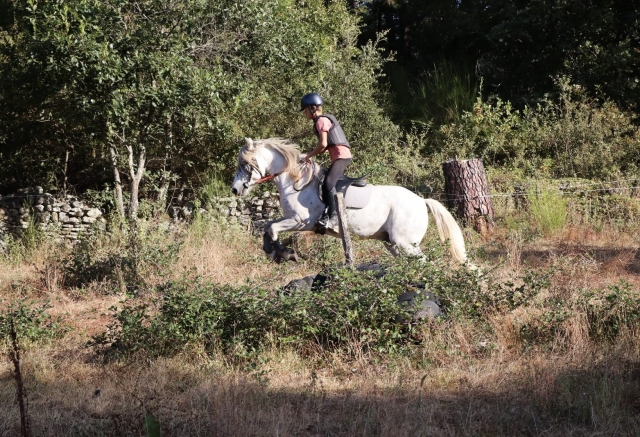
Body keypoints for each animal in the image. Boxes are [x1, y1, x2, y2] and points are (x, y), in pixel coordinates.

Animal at [231, 137, 471, 266]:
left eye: (245, 164)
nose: (235, 189)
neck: (296, 182)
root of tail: (421, 200)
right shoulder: (292, 219)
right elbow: (268, 226)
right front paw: (271, 250)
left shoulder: (302, 221)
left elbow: (273, 229)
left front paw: (283, 253)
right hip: (392, 243)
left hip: (405, 242)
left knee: (425, 263)